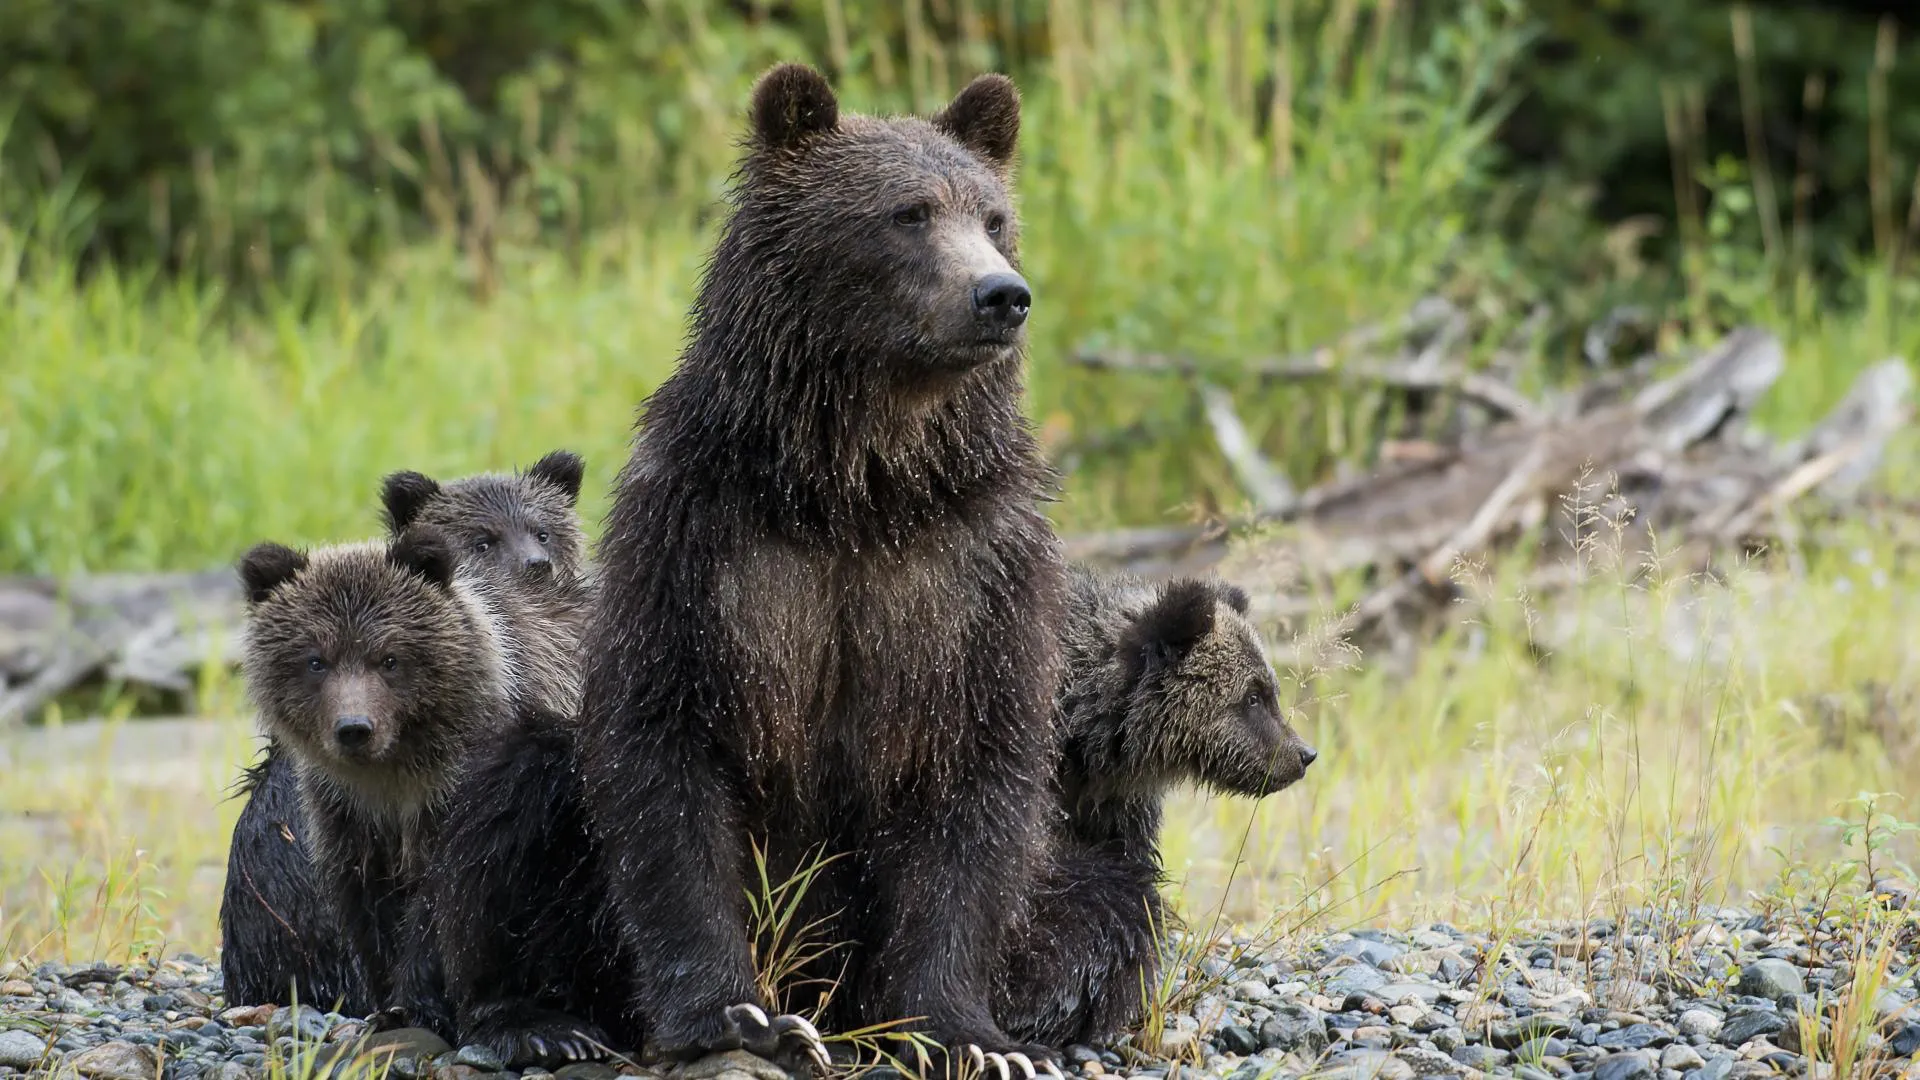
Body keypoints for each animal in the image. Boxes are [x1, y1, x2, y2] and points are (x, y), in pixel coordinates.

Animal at [572, 61, 1069, 1078]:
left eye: (994, 215)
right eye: (907, 212)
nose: (1002, 295)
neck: (855, 484)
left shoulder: (977, 568)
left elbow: (978, 778)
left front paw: (972, 1034)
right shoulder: (697, 546)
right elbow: (663, 754)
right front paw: (743, 1015)